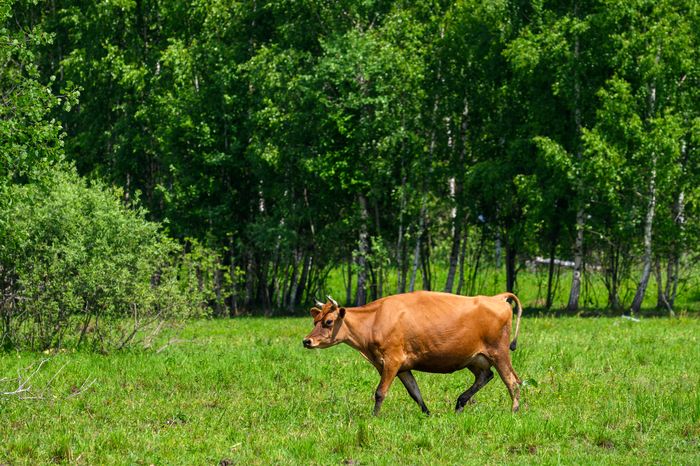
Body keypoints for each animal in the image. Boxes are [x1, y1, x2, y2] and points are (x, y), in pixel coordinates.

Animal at [302, 290, 523, 416]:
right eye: (315, 321)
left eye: (328, 322)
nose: (307, 341)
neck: (374, 320)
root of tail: (497, 298)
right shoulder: (400, 366)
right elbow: (414, 392)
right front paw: (427, 414)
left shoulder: (392, 360)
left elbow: (380, 392)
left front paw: (374, 417)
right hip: (475, 359)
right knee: (486, 376)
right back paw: (460, 403)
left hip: (499, 352)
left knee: (512, 381)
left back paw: (514, 410)